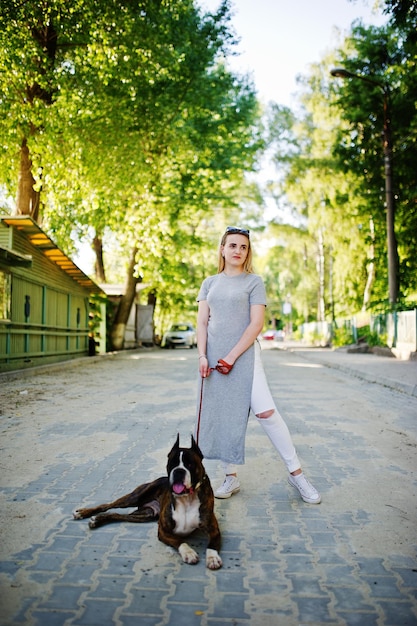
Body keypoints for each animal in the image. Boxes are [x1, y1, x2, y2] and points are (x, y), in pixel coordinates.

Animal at [72, 432, 221, 568]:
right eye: (171, 463)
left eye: (190, 464)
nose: (179, 471)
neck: (187, 498)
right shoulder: (163, 531)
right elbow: (180, 541)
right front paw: (189, 553)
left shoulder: (214, 529)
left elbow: (212, 545)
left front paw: (213, 558)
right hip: (135, 497)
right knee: (107, 505)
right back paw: (83, 513)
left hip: (145, 514)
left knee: (117, 515)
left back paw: (97, 520)